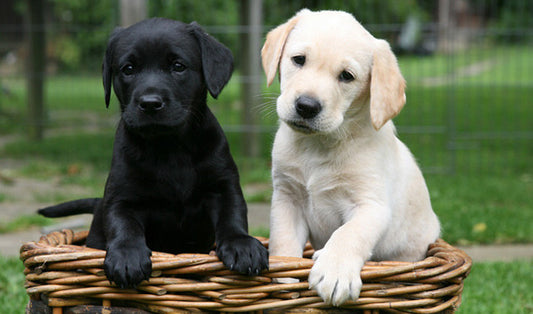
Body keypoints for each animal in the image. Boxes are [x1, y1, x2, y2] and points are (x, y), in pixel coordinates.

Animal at [38, 16, 266, 288]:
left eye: (178, 66)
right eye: (128, 69)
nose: (149, 103)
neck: (169, 147)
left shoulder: (224, 186)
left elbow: (232, 215)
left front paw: (242, 246)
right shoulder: (121, 197)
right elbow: (124, 225)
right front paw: (127, 258)